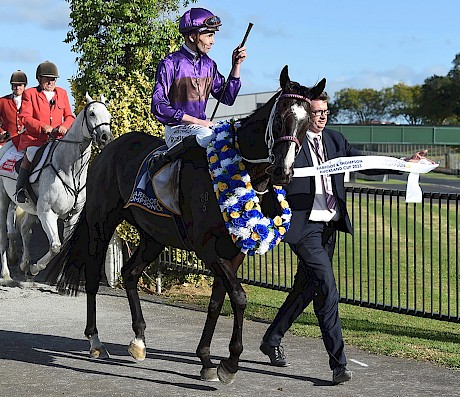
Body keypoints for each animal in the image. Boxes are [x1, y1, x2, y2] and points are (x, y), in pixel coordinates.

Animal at [46, 65, 326, 384]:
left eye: (306, 123)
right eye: (279, 118)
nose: (282, 171)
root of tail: (109, 147)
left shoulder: (233, 250)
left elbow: (218, 300)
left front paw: (207, 359)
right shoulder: (207, 248)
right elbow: (239, 297)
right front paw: (229, 364)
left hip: (153, 236)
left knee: (130, 274)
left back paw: (139, 340)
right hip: (101, 222)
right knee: (93, 275)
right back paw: (95, 341)